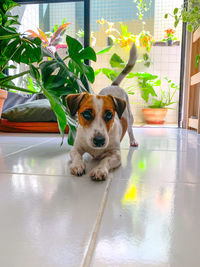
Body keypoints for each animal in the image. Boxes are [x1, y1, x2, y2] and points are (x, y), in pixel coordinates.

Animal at [65, 44, 138, 182]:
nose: (99, 140)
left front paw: (99, 169)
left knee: (131, 130)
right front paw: (77, 165)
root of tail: (114, 85)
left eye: (109, 115)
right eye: (86, 114)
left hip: (131, 117)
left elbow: (106, 160)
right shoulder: (75, 148)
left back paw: (133, 141)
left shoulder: (116, 155)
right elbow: (76, 155)